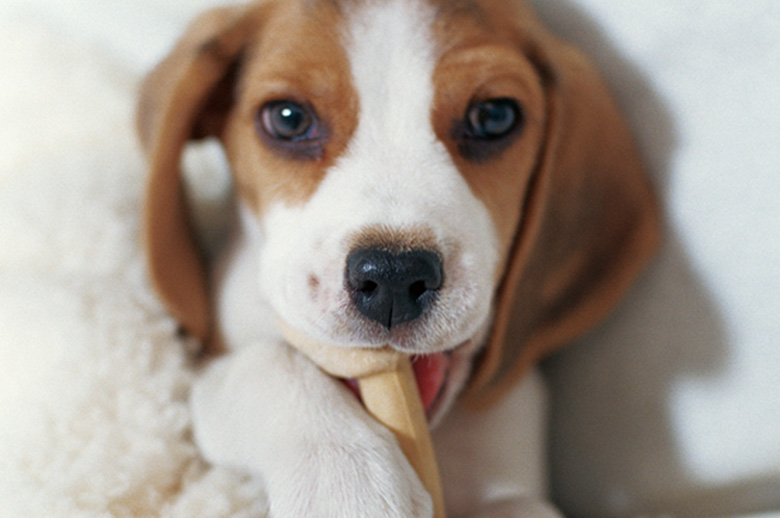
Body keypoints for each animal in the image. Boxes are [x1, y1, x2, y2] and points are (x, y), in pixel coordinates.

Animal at [139, 1, 660, 516]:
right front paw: (346, 484)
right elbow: (268, 362)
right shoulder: (212, 363)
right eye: (288, 119)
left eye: (493, 117)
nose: (393, 277)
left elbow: (524, 508)